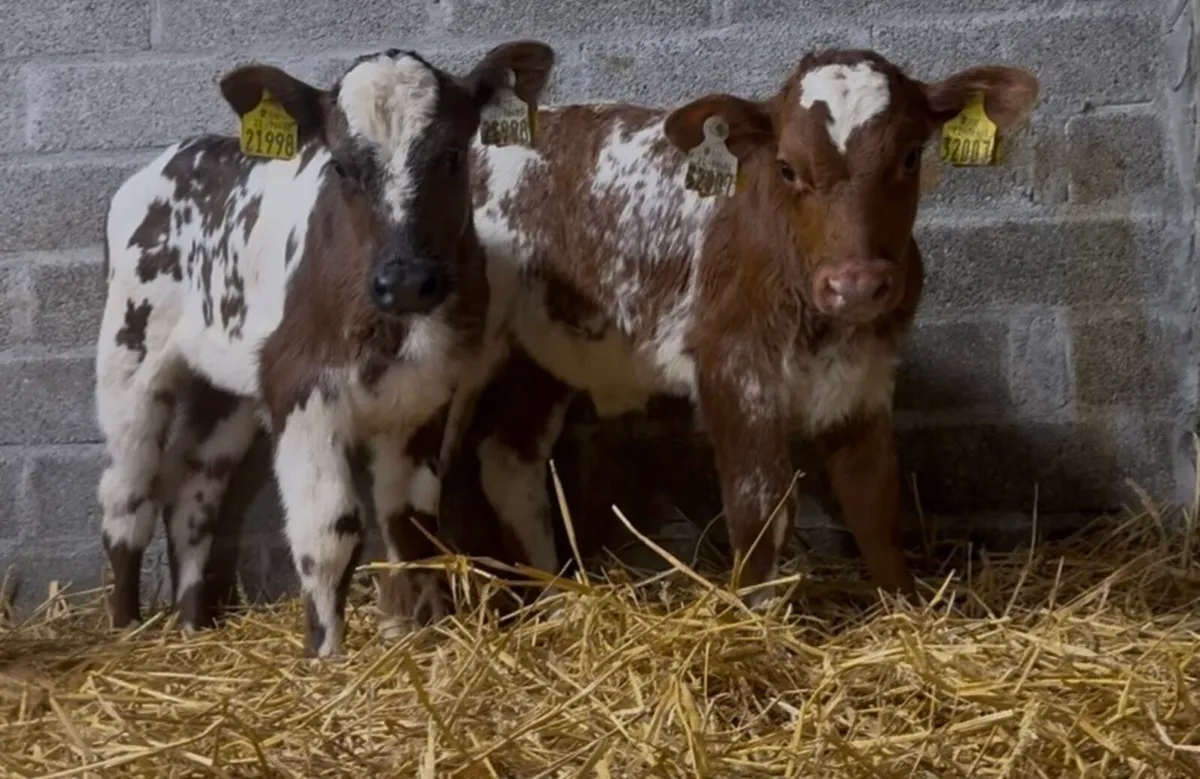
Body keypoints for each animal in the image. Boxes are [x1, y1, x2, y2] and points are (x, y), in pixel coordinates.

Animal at [95, 40, 556, 657]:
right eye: (340, 165)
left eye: (453, 155)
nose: (405, 281)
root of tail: (177, 155)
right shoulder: (301, 386)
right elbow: (330, 530)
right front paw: (325, 655)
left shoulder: (426, 397)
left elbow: (412, 524)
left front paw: (423, 638)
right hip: (130, 352)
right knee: (127, 490)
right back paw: (125, 627)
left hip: (227, 384)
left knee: (193, 489)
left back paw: (192, 629)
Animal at [433, 48, 1040, 607]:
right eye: (788, 167)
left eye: (911, 156)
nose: (855, 285)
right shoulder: (733, 367)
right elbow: (761, 507)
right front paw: (757, 621)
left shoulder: (865, 376)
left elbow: (873, 500)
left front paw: (905, 607)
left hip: (537, 353)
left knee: (509, 462)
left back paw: (558, 596)